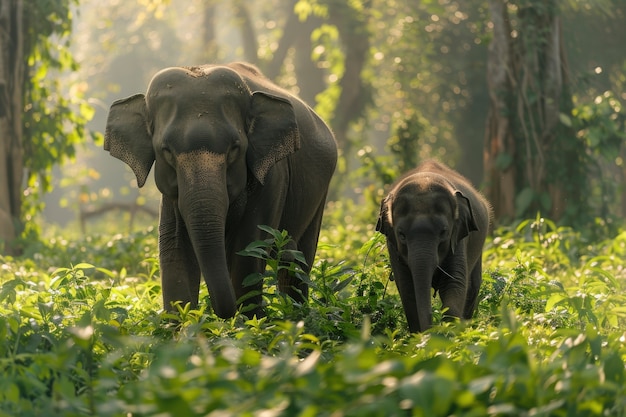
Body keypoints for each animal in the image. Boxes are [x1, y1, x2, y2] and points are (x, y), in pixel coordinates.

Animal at [104, 61, 336, 316]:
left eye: (235, 148)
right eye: (166, 151)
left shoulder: (273, 176)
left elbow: (249, 247)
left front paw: (250, 321)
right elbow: (175, 247)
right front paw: (182, 321)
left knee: (297, 261)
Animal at [372, 159, 490, 332]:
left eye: (443, 232)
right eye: (401, 234)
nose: (431, 329)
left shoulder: (458, 239)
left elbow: (455, 281)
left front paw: (450, 331)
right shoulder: (393, 247)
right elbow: (407, 288)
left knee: (472, 286)